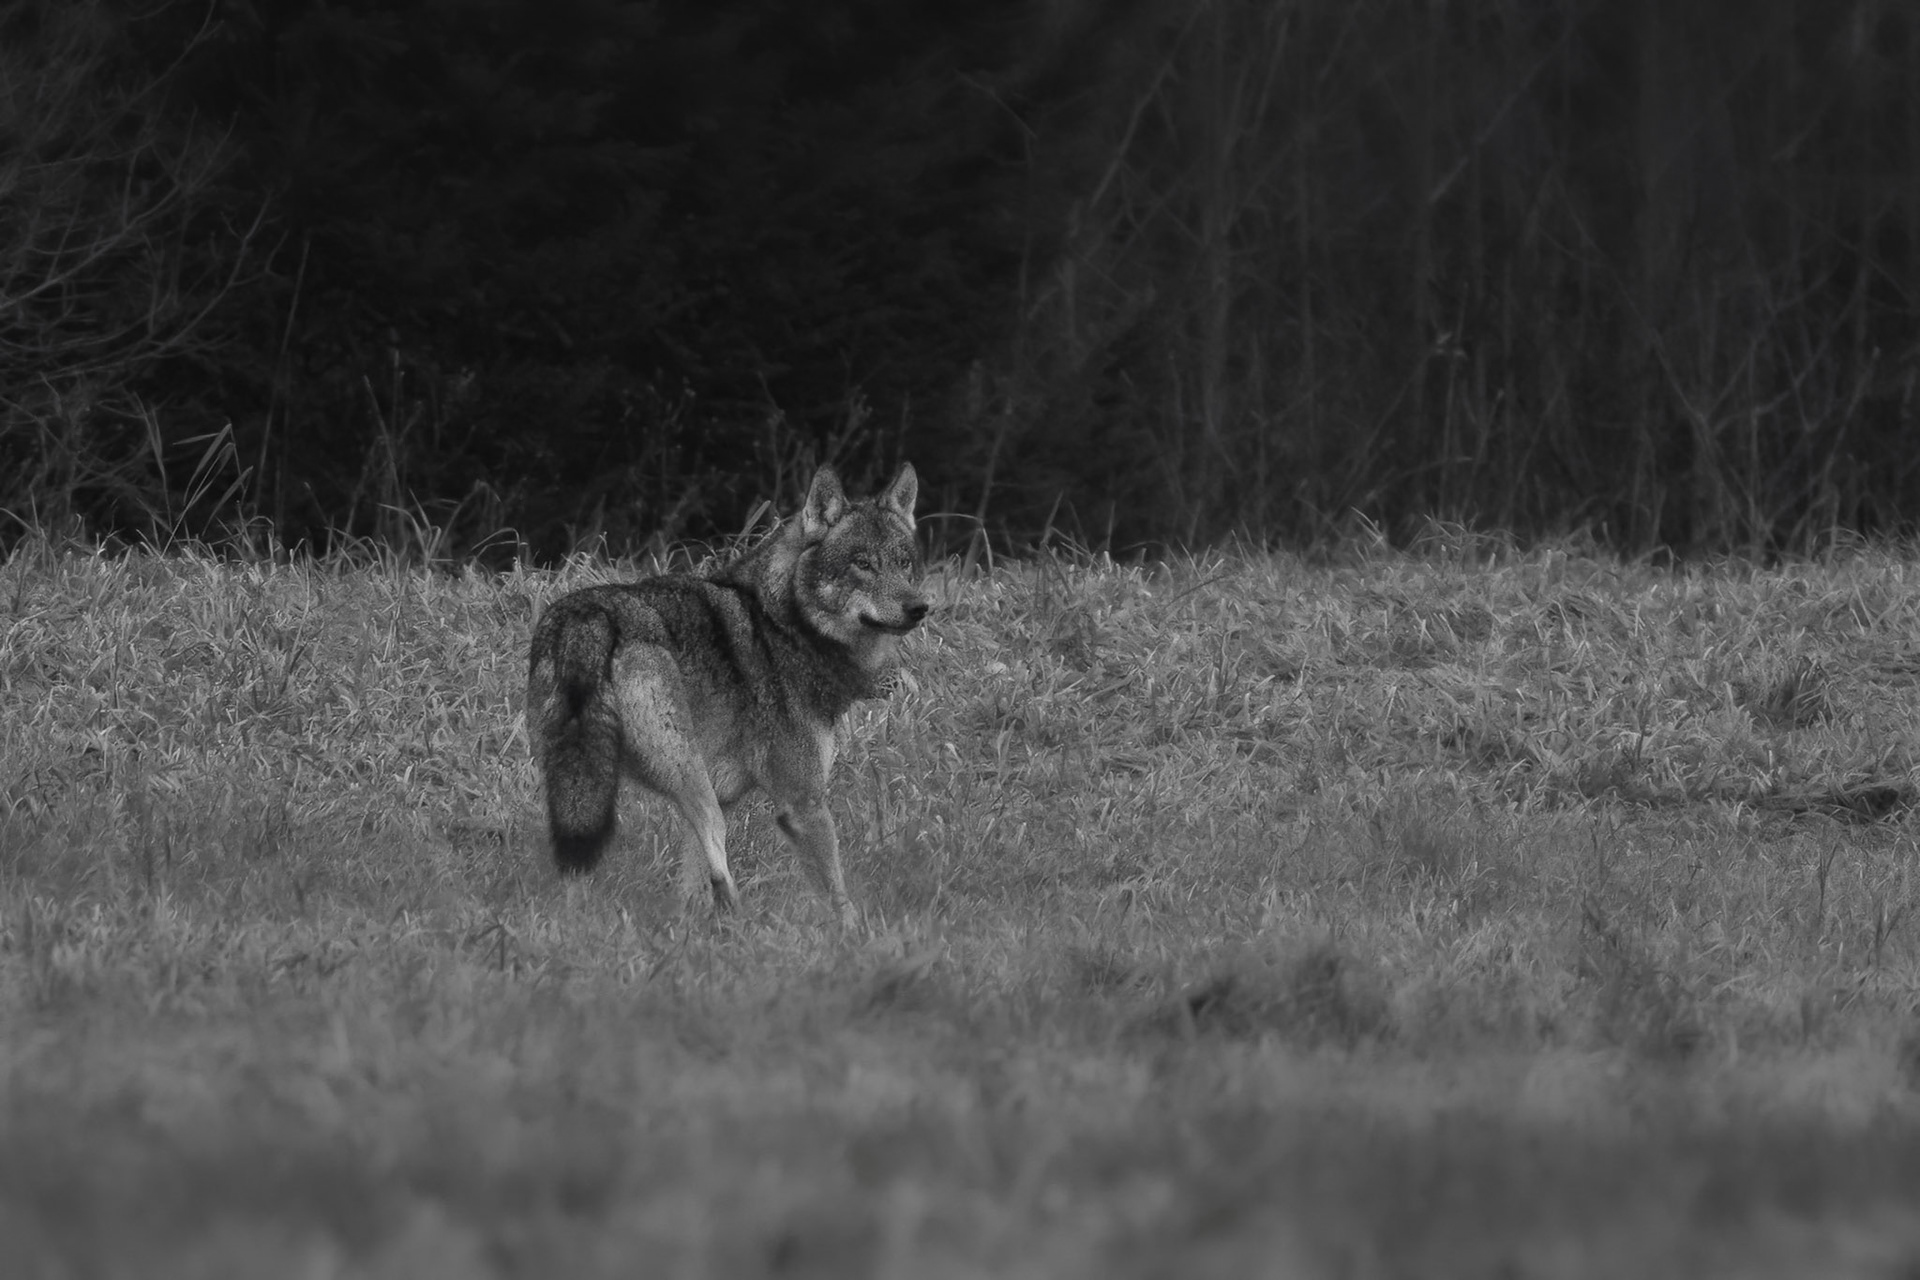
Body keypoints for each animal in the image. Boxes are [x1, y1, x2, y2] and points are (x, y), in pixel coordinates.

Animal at [526, 463, 928, 923]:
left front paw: (686, 929)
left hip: (577, 786)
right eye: (862, 564)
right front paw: (853, 932)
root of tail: (589, 617)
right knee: (718, 854)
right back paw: (744, 920)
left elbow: (688, 886)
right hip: (686, 776)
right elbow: (836, 891)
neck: (784, 626)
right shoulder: (802, 803)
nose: (920, 608)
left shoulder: (727, 794)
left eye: (903, 563)